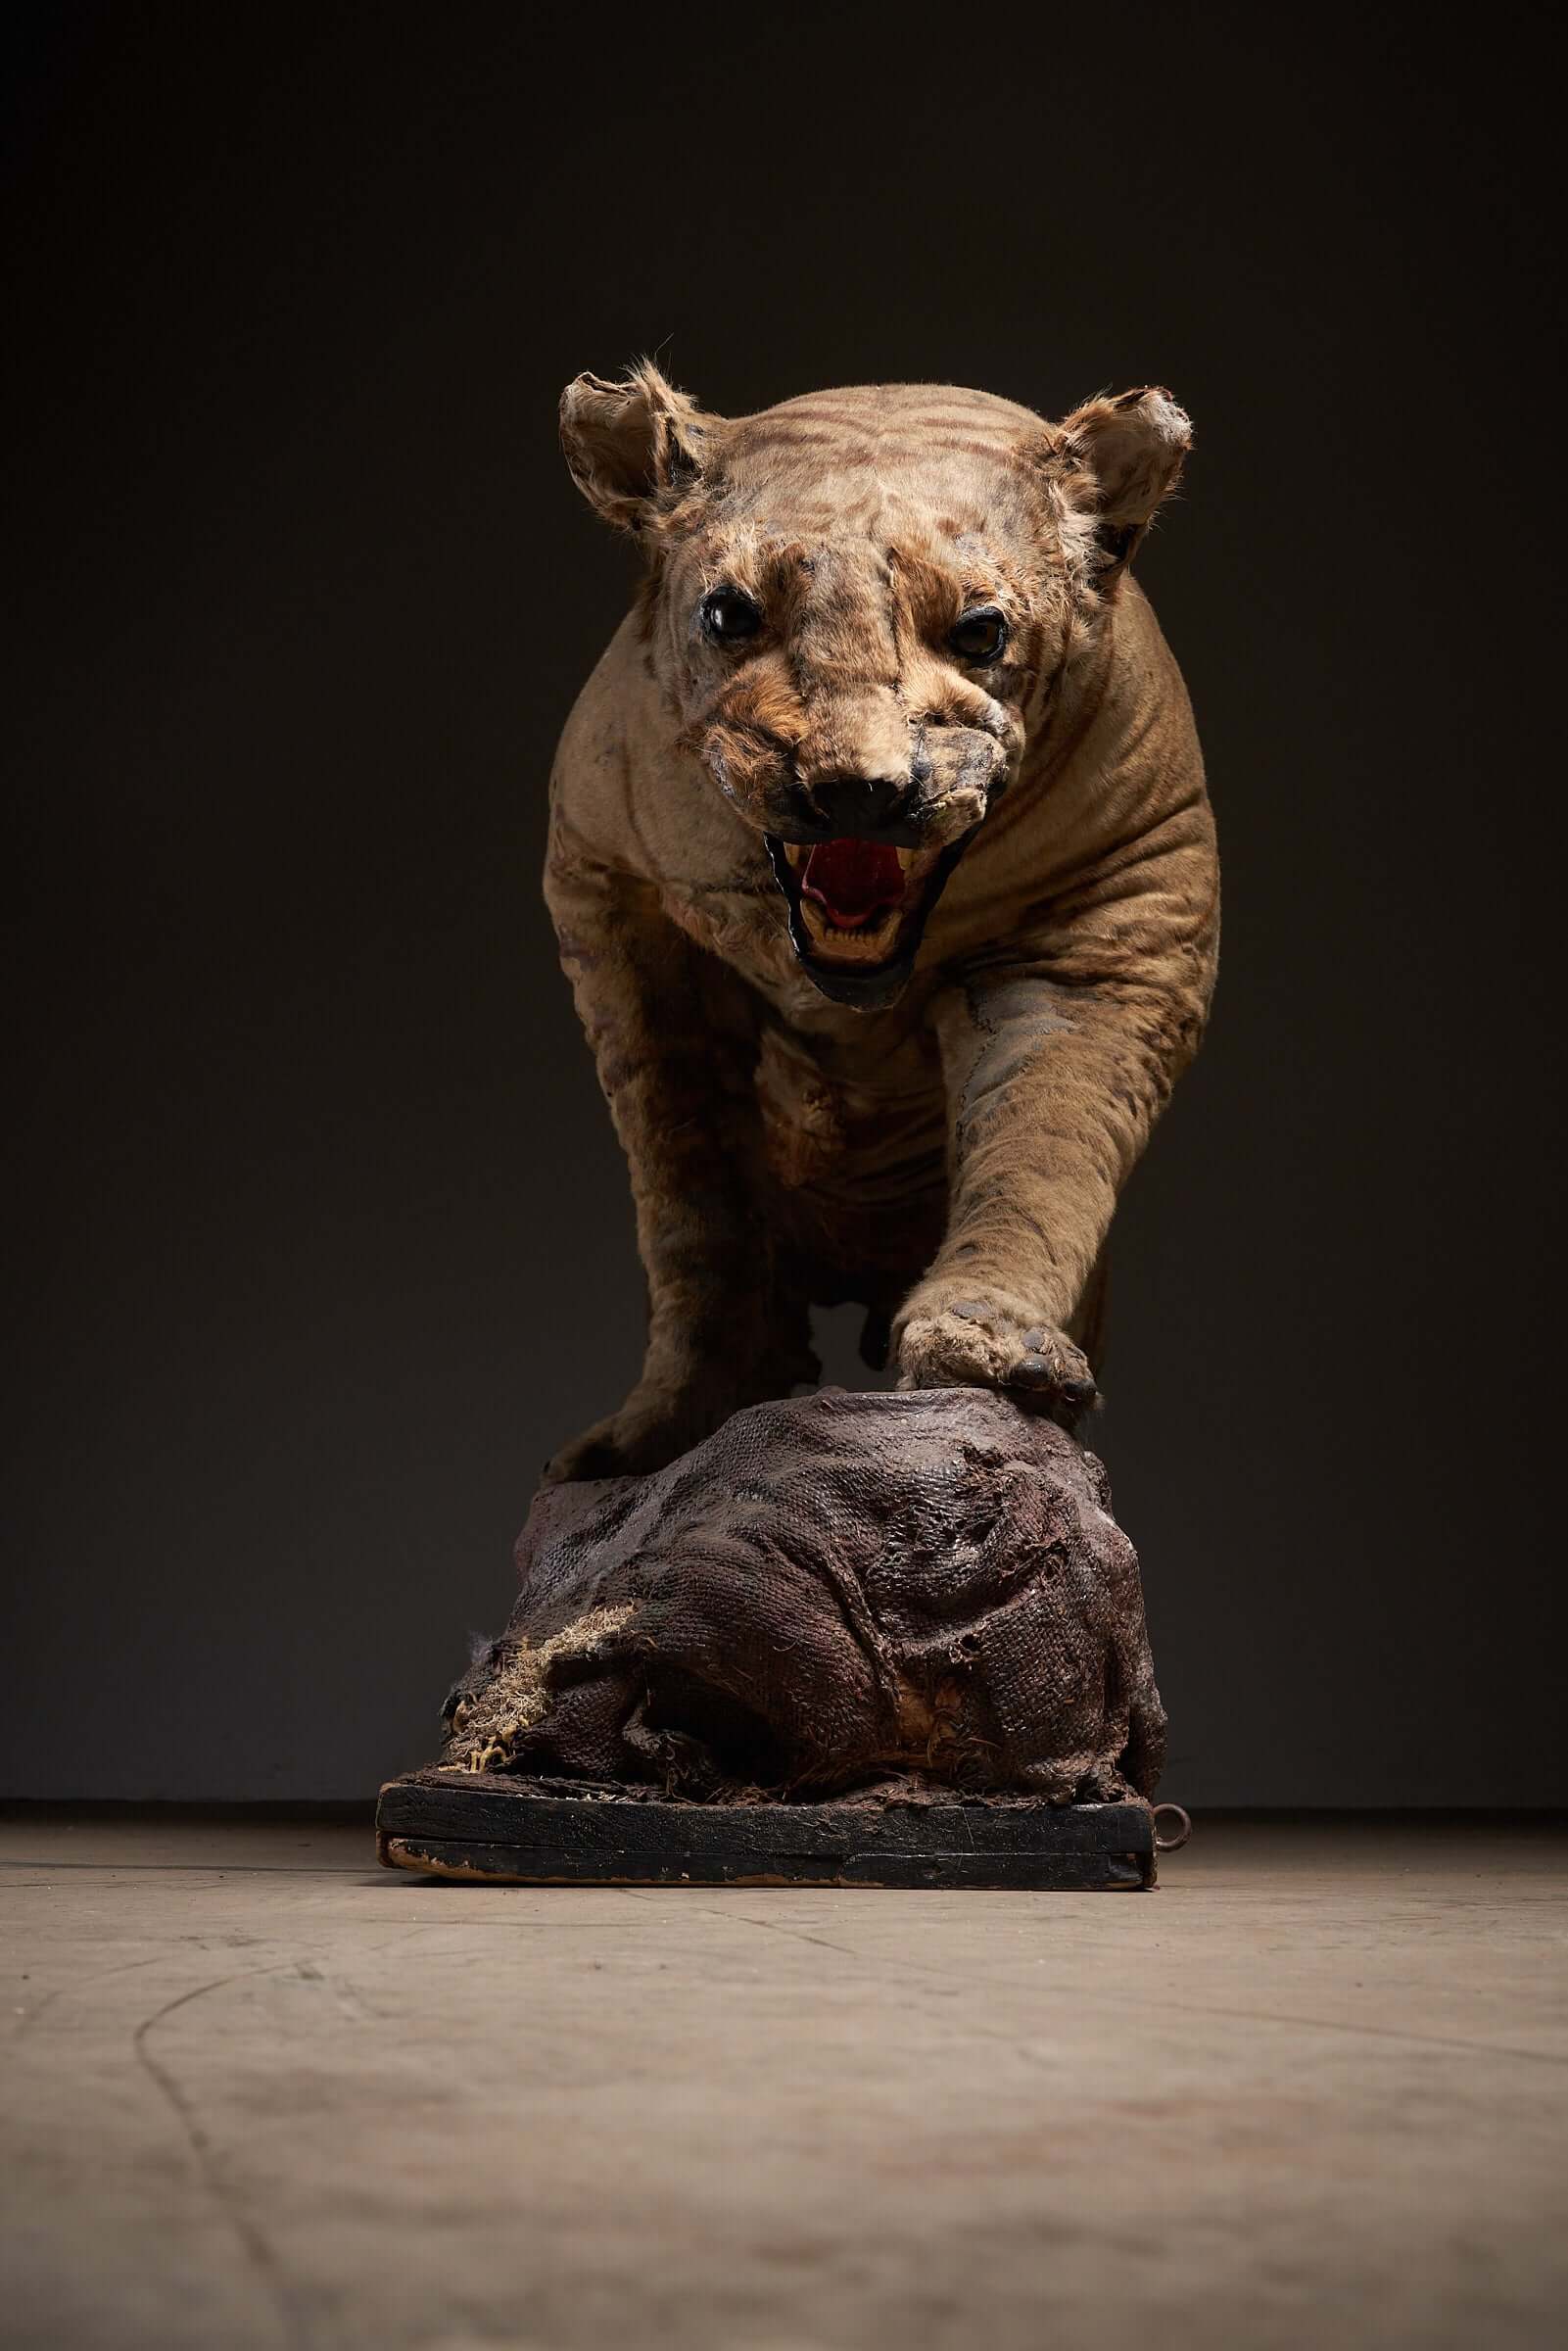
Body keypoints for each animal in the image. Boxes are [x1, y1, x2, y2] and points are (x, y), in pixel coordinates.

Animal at [545, 361, 1222, 1485]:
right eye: (729, 615)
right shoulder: (615, 910)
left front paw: (989, 1351)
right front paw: (661, 1431)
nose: (855, 790)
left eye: (981, 632)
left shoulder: (1105, 930)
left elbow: (1040, 1143)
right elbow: (692, 1207)